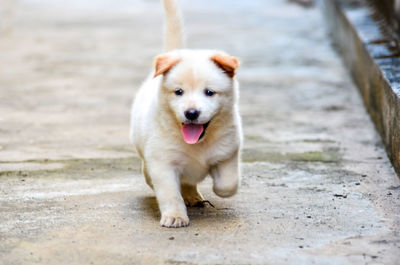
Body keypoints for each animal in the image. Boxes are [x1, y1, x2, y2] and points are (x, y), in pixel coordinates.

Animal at [130, 0, 242, 227]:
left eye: (209, 92)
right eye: (179, 92)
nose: (191, 113)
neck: (198, 143)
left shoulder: (228, 151)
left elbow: (227, 184)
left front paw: (219, 188)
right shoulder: (163, 163)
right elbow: (170, 193)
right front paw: (175, 216)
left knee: (189, 182)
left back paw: (193, 195)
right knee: (150, 172)